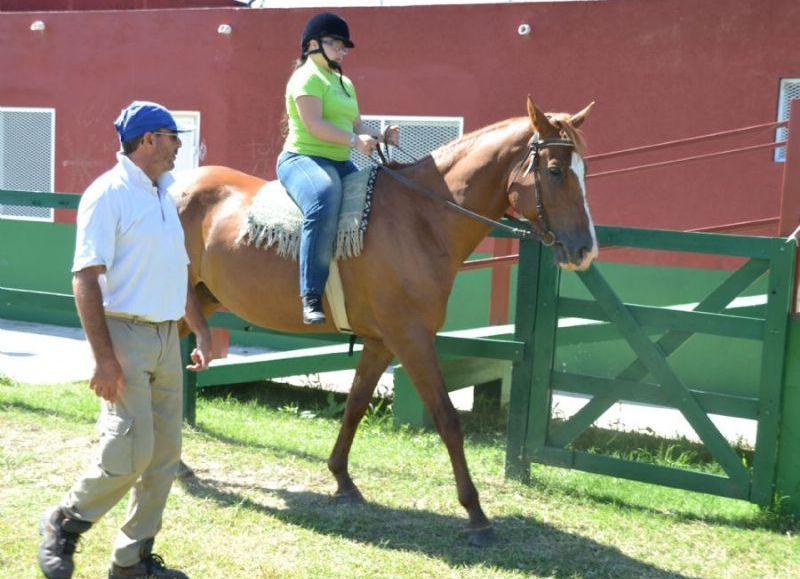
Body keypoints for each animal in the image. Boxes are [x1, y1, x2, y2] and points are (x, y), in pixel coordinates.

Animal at [178, 95, 596, 544]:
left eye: (583, 170)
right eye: (555, 171)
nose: (586, 250)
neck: (422, 218)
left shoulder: (382, 341)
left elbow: (356, 405)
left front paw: (342, 480)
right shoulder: (411, 338)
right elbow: (447, 418)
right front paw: (476, 513)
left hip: (198, 303)